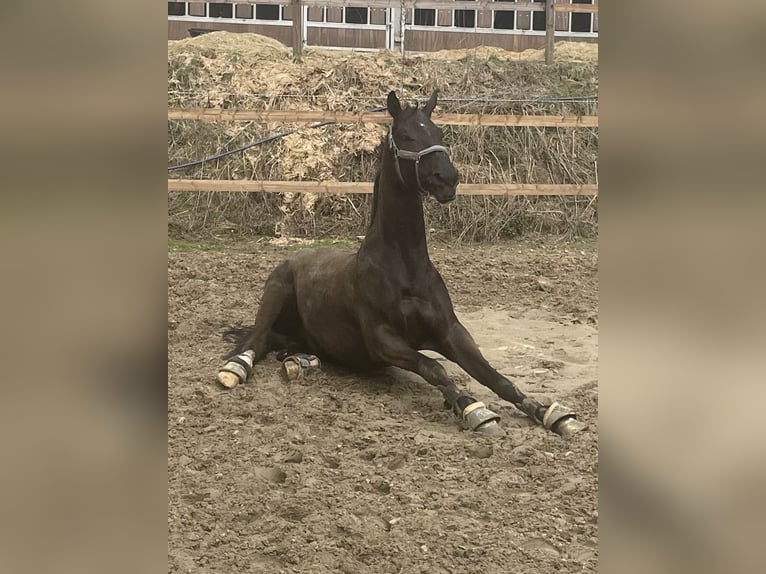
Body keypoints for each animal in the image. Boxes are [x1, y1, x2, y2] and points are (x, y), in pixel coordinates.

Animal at [216, 90, 588, 440]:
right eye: (406, 135)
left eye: (437, 130)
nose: (447, 178)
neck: (405, 269)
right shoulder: (382, 340)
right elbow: (435, 369)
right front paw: (473, 409)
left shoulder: (450, 331)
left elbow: (496, 377)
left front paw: (550, 414)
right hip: (275, 292)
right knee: (254, 341)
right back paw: (236, 369)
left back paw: (301, 360)